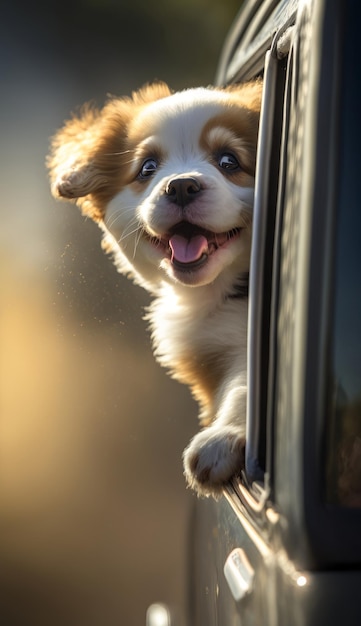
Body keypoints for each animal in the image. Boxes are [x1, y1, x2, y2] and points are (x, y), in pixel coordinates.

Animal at [48, 80, 262, 494]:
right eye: (147, 167)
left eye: (229, 161)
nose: (181, 186)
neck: (217, 292)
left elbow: (250, 380)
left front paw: (224, 437)